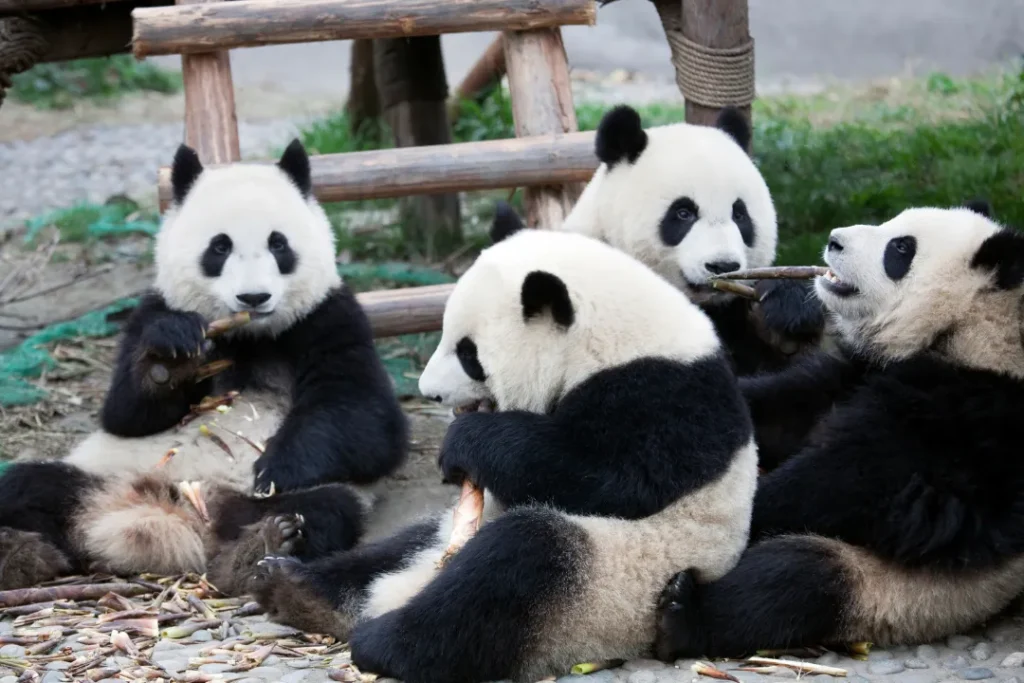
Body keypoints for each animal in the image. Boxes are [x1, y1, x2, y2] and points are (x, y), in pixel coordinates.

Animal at [0, 140, 408, 593]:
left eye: (278, 244)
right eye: (220, 247)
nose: (253, 297)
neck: (249, 335)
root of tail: (166, 516)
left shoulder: (328, 319)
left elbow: (367, 423)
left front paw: (276, 468)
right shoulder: (150, 311)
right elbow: (124, 414)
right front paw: (168, 362)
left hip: (268, 500)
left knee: (323, 509)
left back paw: (259, 549)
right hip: (102, 471)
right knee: (25, 485)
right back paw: (19, 555)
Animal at [245, 226, 758, 683]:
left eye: (468, 352)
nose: (429, 393)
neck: (616, 336)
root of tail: (404, 590)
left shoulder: (665, 395)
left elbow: (612, 477)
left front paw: (465, 443)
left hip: (616, 586)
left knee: (513, 564)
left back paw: (381, 640)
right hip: (447, 537)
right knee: (391, 550)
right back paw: (289, 581)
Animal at [652, 202, 1024, 659]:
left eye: (900, 249)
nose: (834, 240)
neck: (969, 328)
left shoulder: (971, 420)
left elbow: (854, 483)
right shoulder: (858, 372)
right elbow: (786, 408)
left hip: (898, 593)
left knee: (793, 580)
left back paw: (681, 616)